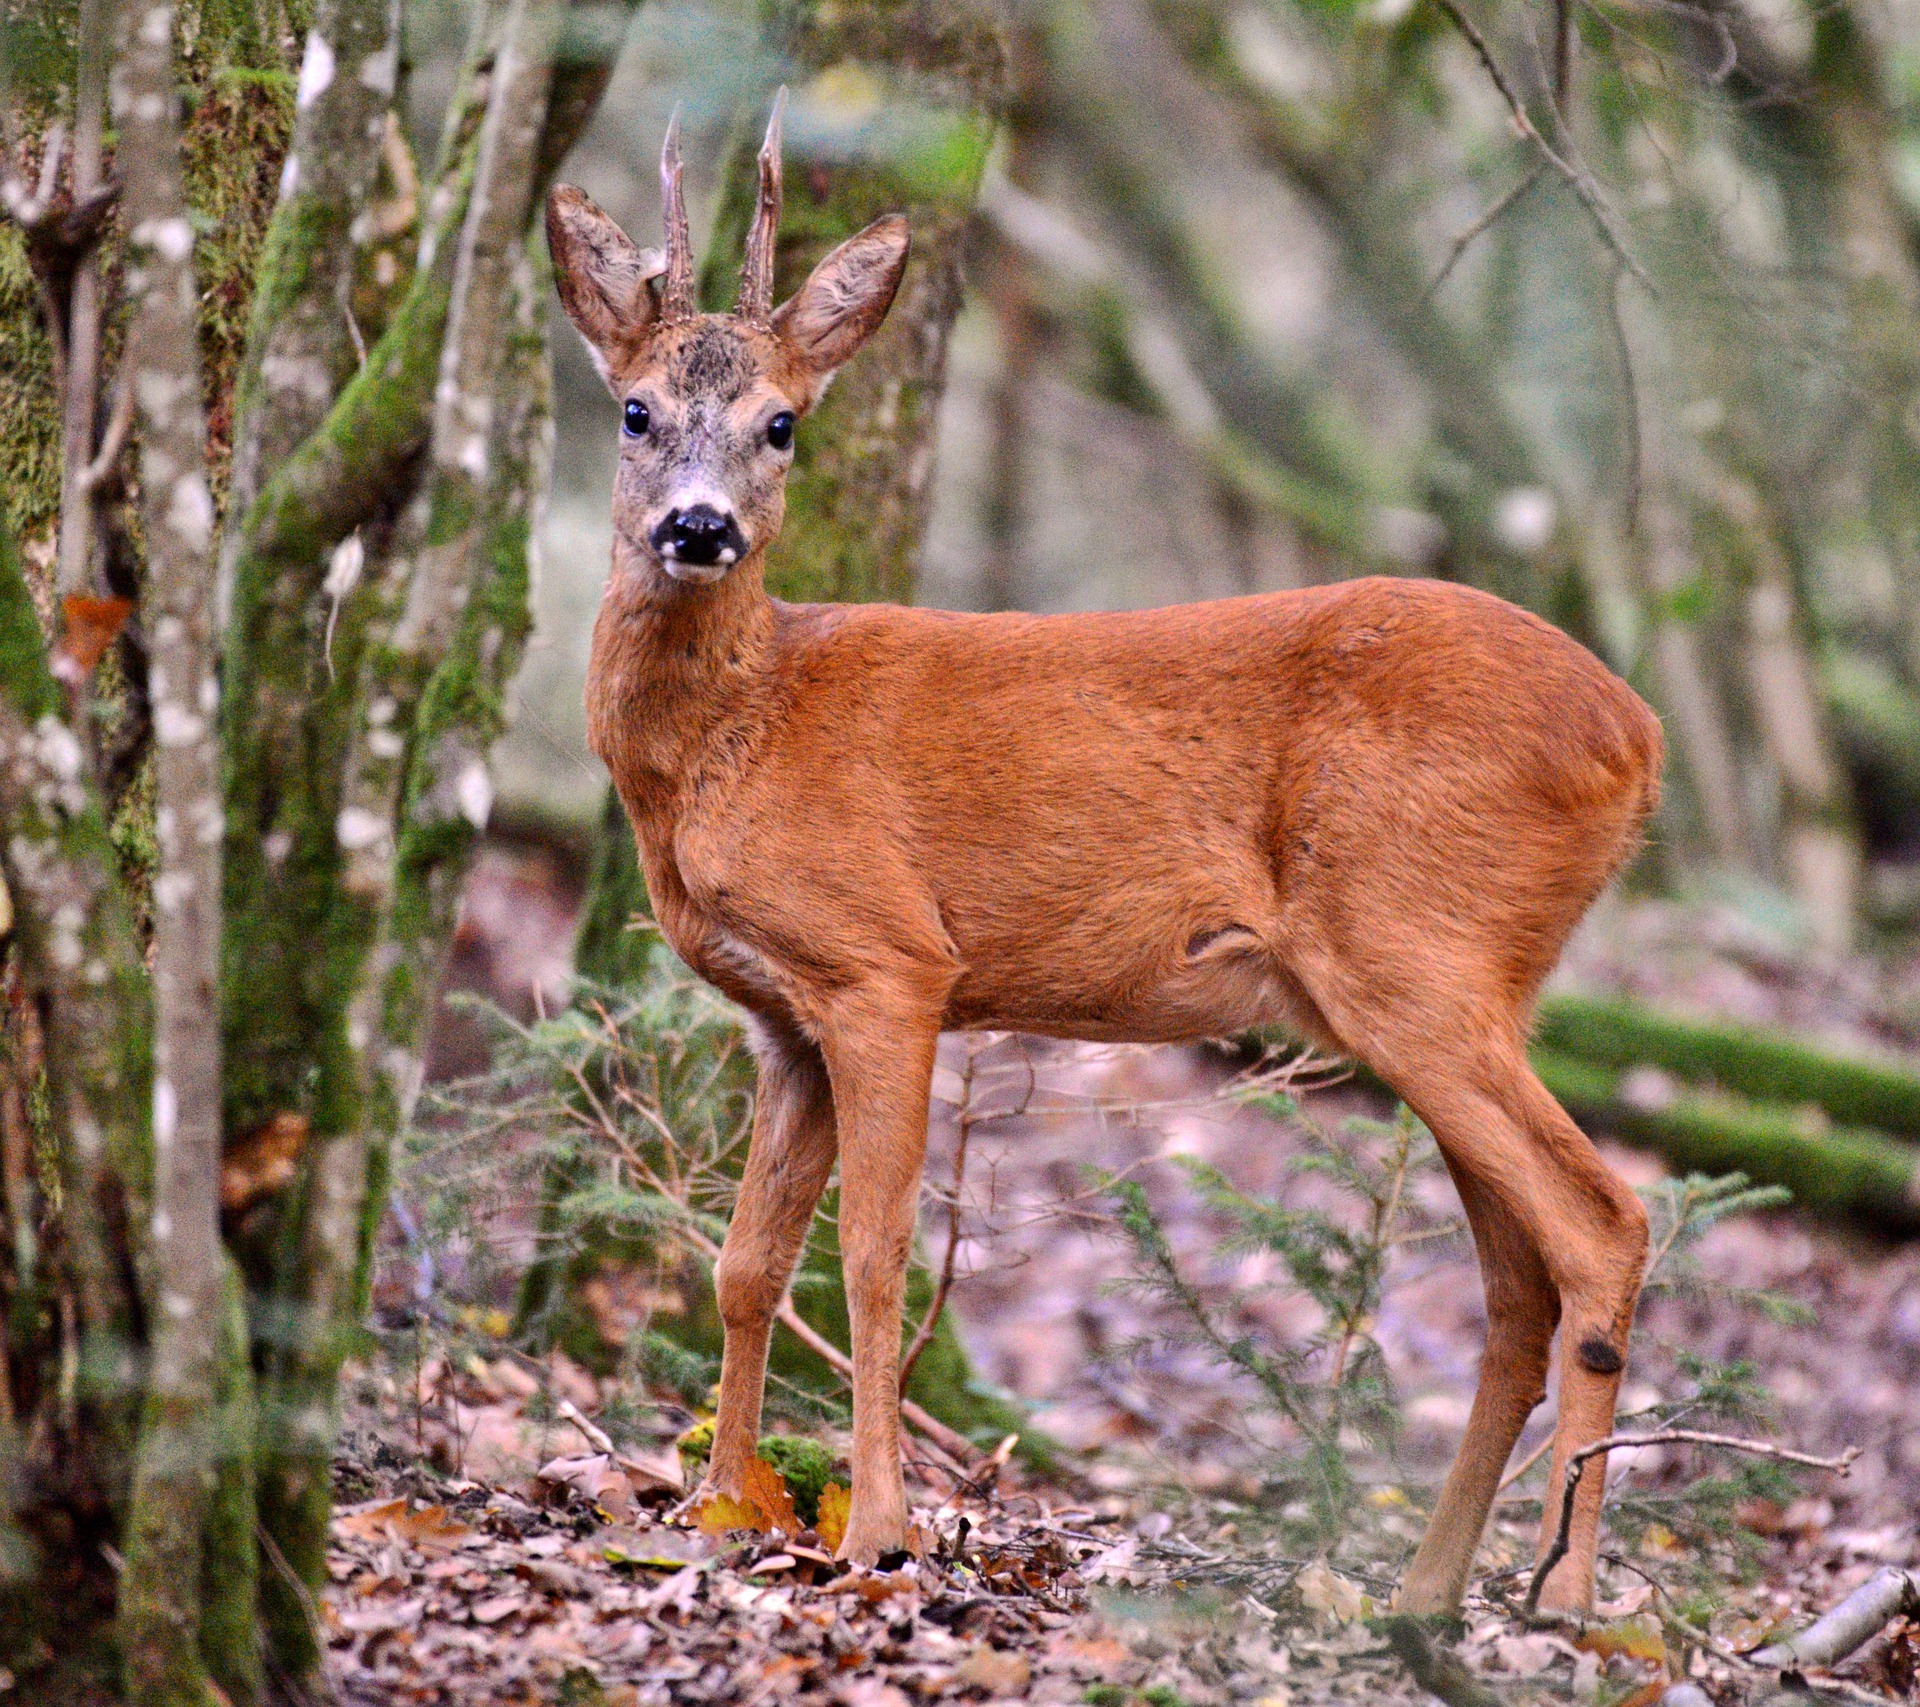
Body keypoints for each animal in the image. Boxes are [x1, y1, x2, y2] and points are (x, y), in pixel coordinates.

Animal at [545, 106, 1666, 1612]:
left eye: (782, 422)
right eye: (635, 410)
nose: (699, 527)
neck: (747, 724)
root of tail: (1639, 735)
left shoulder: (888, 961)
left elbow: (873, 1256)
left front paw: (877, 1529)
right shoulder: (785, 1015)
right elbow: (742, 1261)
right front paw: (718, 1508)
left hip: (1417, 951)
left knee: (1603, 1223)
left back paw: (1568, 1601)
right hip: (1461, 980)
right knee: (1519, 1280)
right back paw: (1422, 1598)